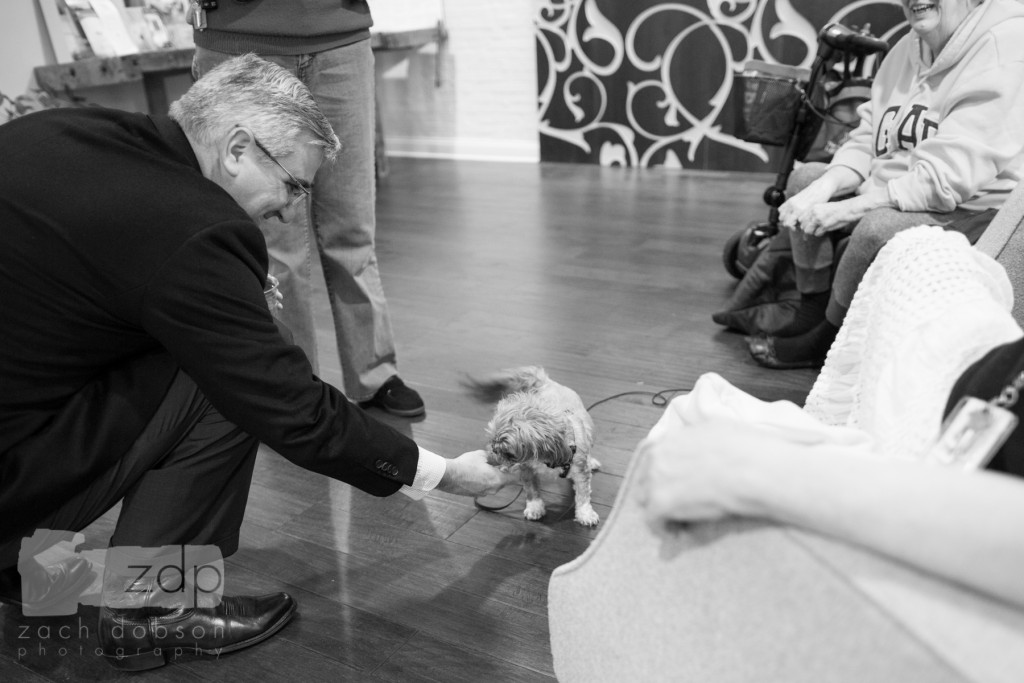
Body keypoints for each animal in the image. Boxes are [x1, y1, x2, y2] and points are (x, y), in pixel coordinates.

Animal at [466, 366, 598, 528]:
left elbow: (583, 495)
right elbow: (532, 490)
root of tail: (548, 382)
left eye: (509, 453)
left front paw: (585, 514)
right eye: (492, 441)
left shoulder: (580, 471)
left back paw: (592, 461)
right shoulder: (527, 469)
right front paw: (535, 507)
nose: (492, 453)